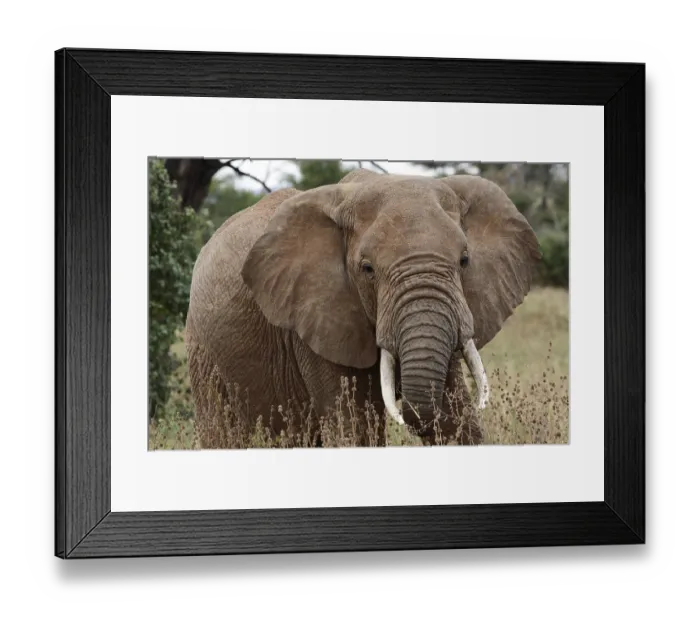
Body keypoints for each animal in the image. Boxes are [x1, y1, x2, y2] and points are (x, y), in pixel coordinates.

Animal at [184, 168, 541, 448]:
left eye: (464, 260)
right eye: (367, 269)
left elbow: (459, 424)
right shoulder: (314, 318)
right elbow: (354, 431)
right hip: (204, 355)